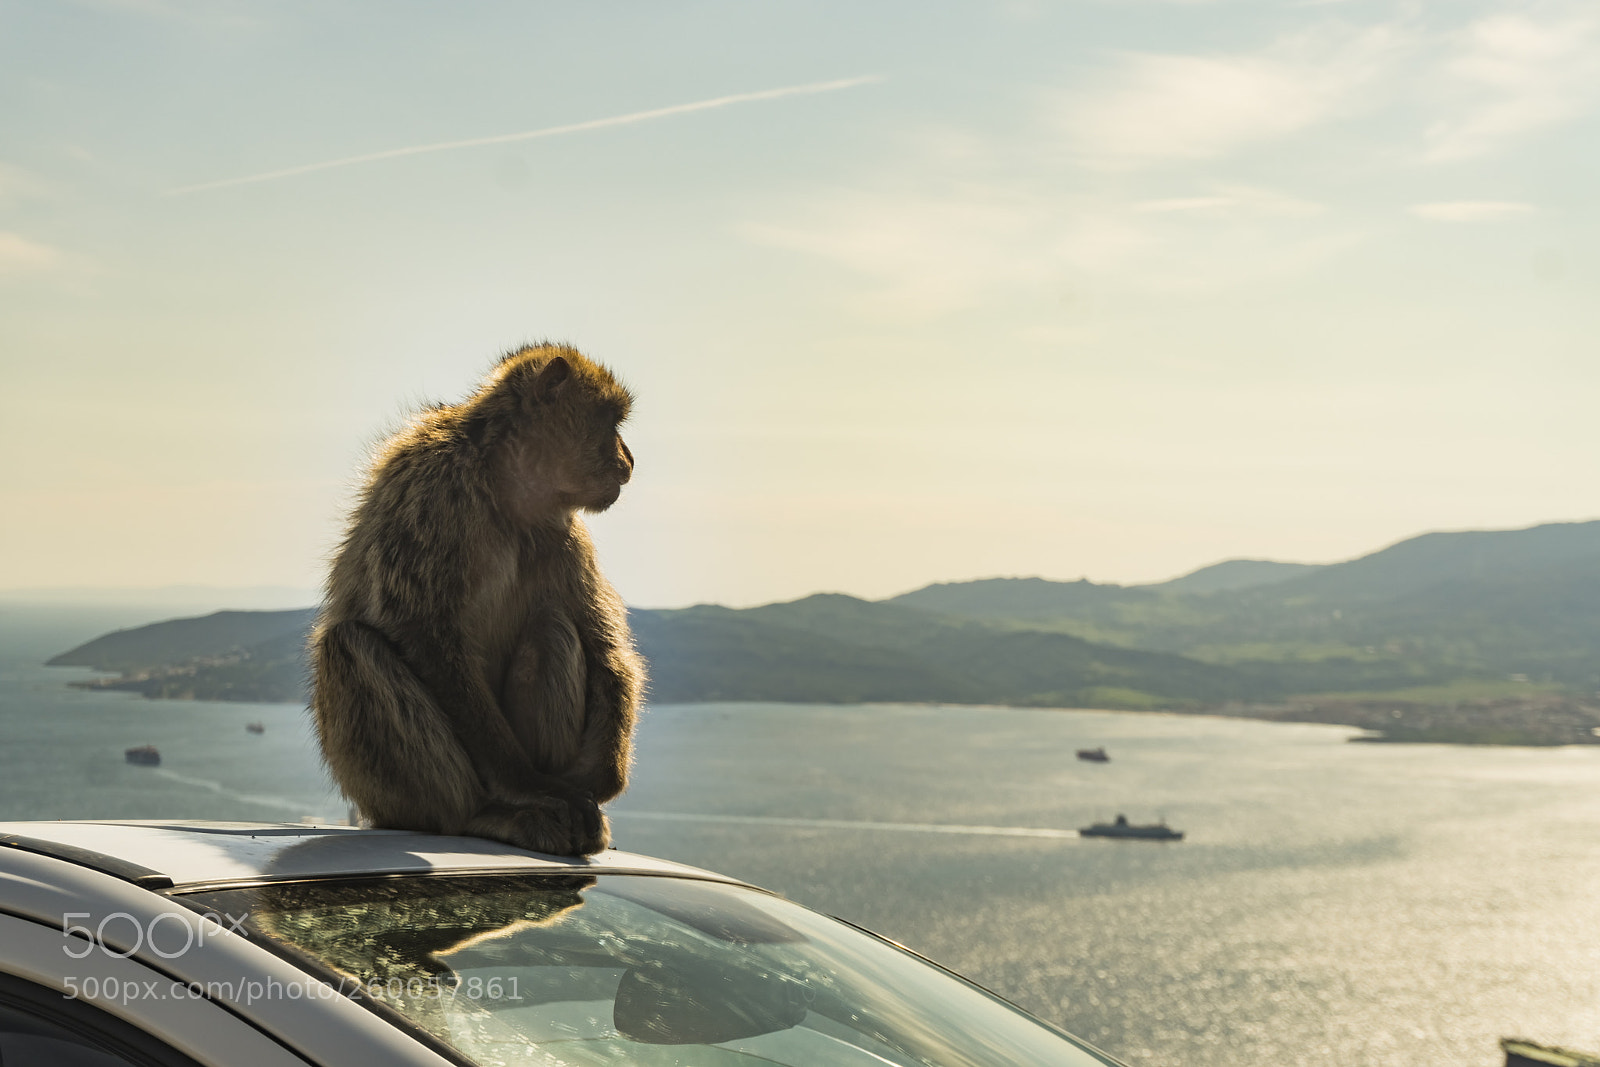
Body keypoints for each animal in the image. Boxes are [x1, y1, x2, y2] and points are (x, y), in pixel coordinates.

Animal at [310, 344, 645, 856]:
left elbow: (599, 636)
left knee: (553, 627)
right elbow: (426, 636)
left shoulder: (567, 533)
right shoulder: (434, 490)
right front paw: (529, 783)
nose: (629, 459)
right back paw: (487, 814)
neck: (503, 487)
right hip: (380, 790)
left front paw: (600, 775)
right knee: (347, 645)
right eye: (609, 421)